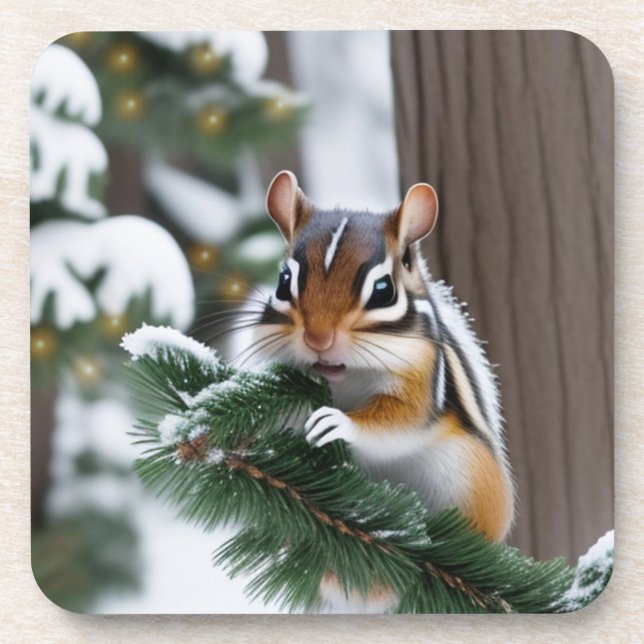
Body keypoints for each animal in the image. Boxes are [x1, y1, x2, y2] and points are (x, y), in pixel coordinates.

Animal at [253, 170, 515, 612]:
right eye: (284, 282)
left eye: (383, 290)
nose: (318, 338)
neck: (345, 379)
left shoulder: (421, 378)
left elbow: (399, 422)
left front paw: (336, 424)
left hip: (471, 477)